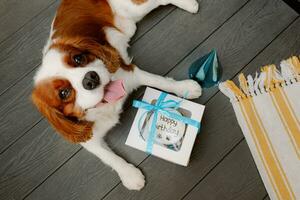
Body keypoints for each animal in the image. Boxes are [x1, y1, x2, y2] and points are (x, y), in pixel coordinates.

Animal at [31, 0, 202, 191]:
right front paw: (130, 175)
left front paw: (185, 87)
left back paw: (189, 4)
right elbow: (107, 156)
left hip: (133, 8)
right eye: (64, 93)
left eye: (78, 59)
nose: (90, 78)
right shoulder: (89, 138)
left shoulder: (129, 74)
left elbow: (161, 82)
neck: (106, 105)